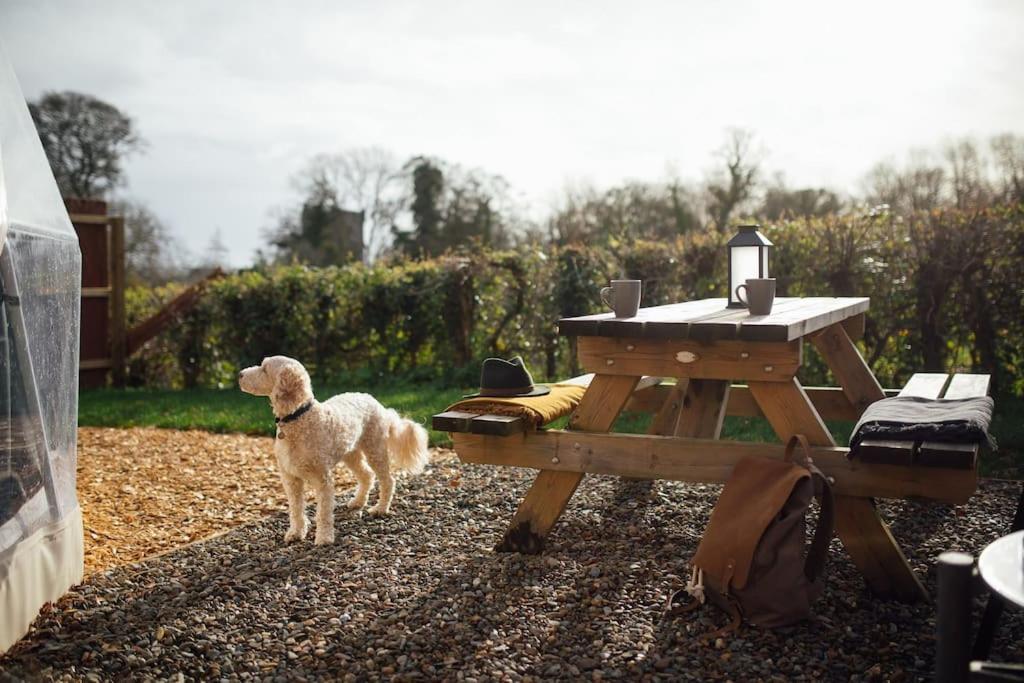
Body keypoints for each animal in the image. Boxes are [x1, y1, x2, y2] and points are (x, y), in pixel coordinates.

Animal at [238, 358, 428, 544]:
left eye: (264, 369)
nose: (239, 374)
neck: (299, 416)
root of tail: (376, 402)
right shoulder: (291, 479)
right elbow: (296, 510)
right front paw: (296, 533)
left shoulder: (322, 479)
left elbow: (323, 512)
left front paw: (324, 537)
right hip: (351, 454)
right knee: (367, 475)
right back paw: (358, 502)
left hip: (375, 449)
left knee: (388, 480)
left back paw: (380, 508)